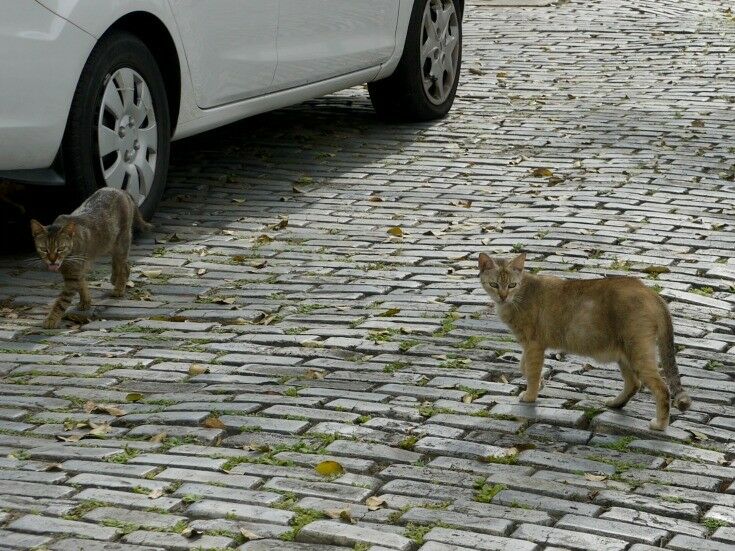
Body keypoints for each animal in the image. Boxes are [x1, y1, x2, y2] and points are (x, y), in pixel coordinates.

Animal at [30, 188, 152, 330]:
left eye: (60, 249)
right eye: (44, 249)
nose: (52, 260)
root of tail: (121, 190)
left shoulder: (73, 275)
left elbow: (61, 301)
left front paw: (51, 319)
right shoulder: (77, 271)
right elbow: (82, 285)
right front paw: (86, 301)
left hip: (121, 241)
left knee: (125, 266)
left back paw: (119, 289)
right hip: (109, 242)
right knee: (120, 263)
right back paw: (114, 278)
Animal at [480, 253, 692, 432]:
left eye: (512, 285)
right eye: (494, 284)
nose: (503, 296)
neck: (519, 296)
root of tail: (651, 292)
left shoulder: (534, 345)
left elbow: (531, 372)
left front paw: (530, 395)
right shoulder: (528, 346)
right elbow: (523, 365)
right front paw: (535, 383)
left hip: (638, 352)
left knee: (662, 389)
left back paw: (660, 425)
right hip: (625, 354)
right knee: (634, 383)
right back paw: (616, 404)